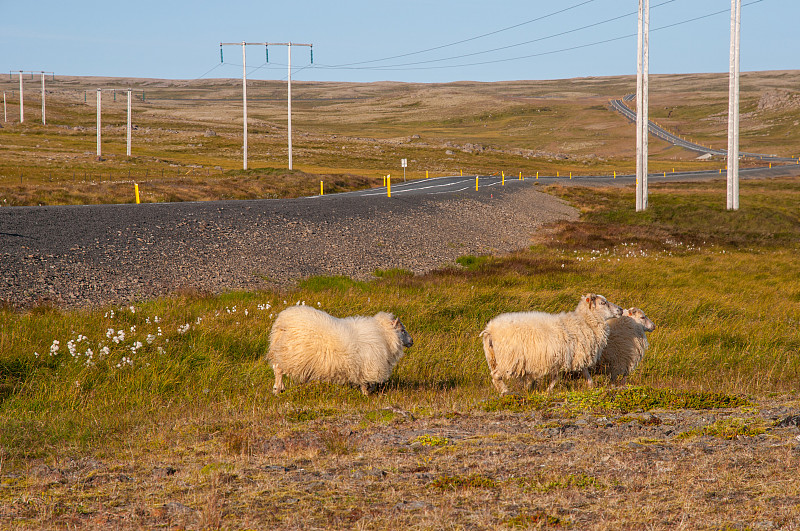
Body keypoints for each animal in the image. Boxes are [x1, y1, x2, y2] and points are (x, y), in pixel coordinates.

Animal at [268, 306, 412, 396]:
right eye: (402, 330)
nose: (412, 341)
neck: (385, 336)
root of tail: (282, 321)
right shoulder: (368, 366)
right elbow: (367, 384)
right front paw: (367, 394)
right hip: (289, 353)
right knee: (278, 369)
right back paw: (278, 389)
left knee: (276, 367)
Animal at [482, 296, 624, 394]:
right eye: (603, 303)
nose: (621, 310)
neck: (585, 321)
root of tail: (490, 329)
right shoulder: (569, 356)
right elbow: (558, 377)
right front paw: (548, 390)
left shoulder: (571, 355)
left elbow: (581, 374)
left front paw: (591, 386)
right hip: (508, 359)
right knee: (496, 376)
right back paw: (505, 392)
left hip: (494, 358)